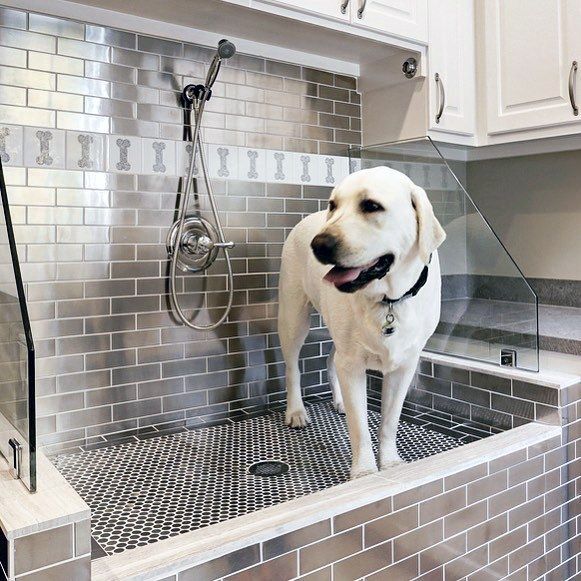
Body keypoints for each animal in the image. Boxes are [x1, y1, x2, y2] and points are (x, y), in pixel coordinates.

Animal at [276, 165, 444, 478]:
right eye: (333, 205)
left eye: (371, 206)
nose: (319, 244)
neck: (389, 299)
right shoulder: (352, 364)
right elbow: (360, 427)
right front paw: (364, 473)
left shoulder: (404, 365)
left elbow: (389, 422)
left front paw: (390, 464)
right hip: (293, 317)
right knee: (292, 367)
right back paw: (296, 411)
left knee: (330, 358)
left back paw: (340, 400)